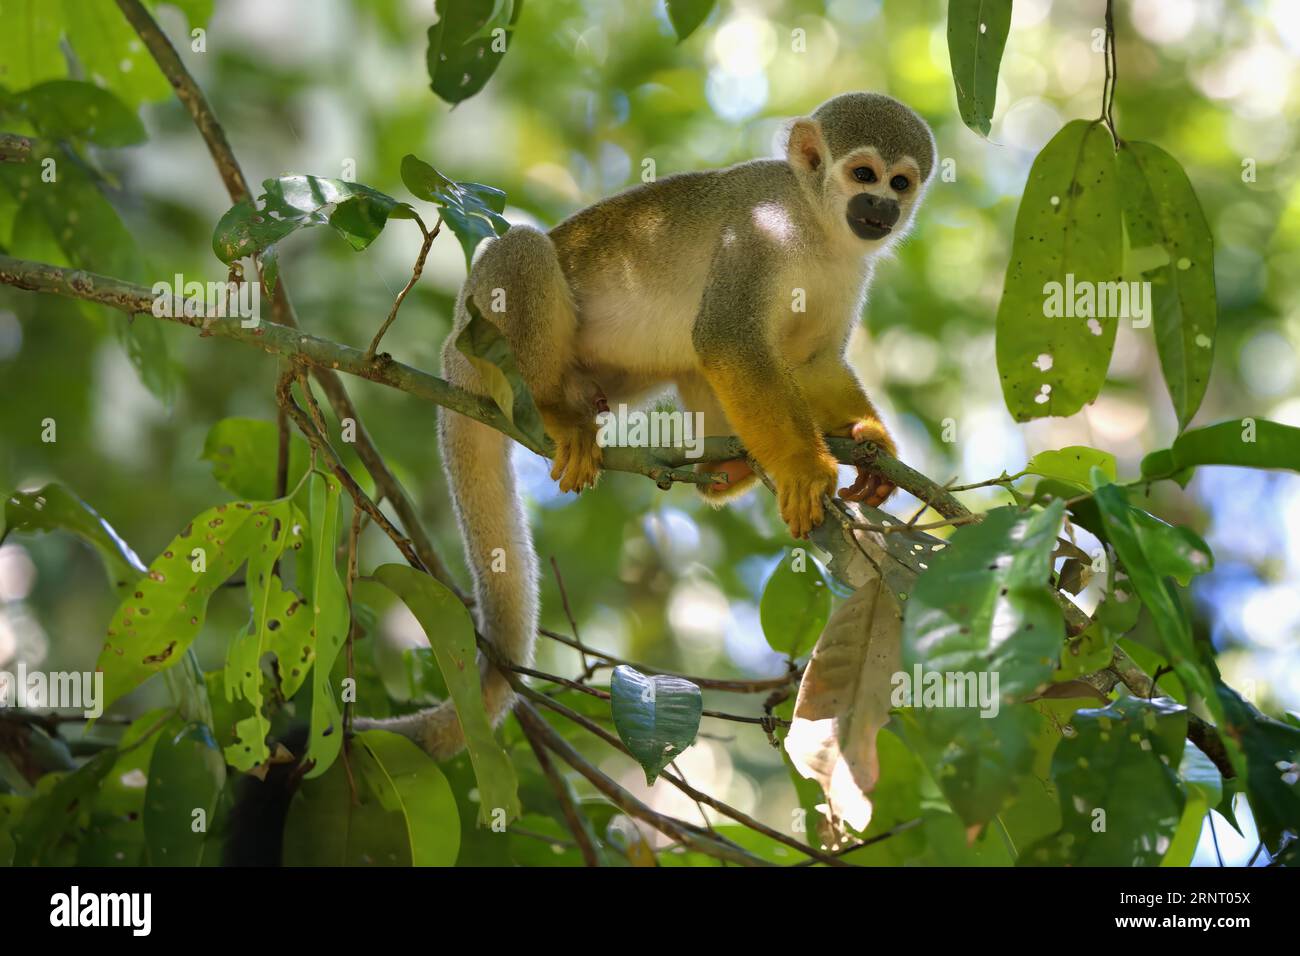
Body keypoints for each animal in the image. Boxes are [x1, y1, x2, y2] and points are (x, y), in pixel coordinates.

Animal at [361, 93, 941, 759]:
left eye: (901, 183)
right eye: (864, 175)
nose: (882, 209)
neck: (819, 227)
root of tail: (449, 367)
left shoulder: (851, 271)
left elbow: (808, 362)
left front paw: (870, 438)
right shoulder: (761, 232)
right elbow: (728, 339)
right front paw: (802, 466)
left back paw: (725, 468)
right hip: (478, 339)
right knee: (527, 249)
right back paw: (557, 413)